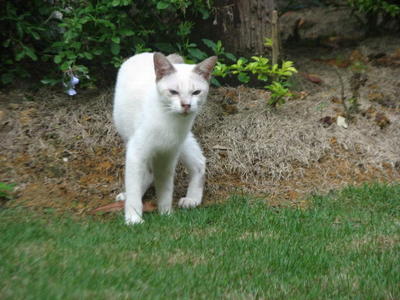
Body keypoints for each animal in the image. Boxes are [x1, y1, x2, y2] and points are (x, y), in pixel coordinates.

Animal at [112, 52, 217, 224]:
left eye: (196, 92)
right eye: (173, 92)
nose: (186, 105)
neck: (169, 123)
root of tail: (145, 53)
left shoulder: (167, 157)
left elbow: (165, 190)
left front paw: (166, 215)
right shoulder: (136, 153)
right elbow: (134, 188)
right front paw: (134, 219)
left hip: (182, 144)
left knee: (199, 162)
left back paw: (192, 200)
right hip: (131, 140)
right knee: (143, 176)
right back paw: (127, 197)